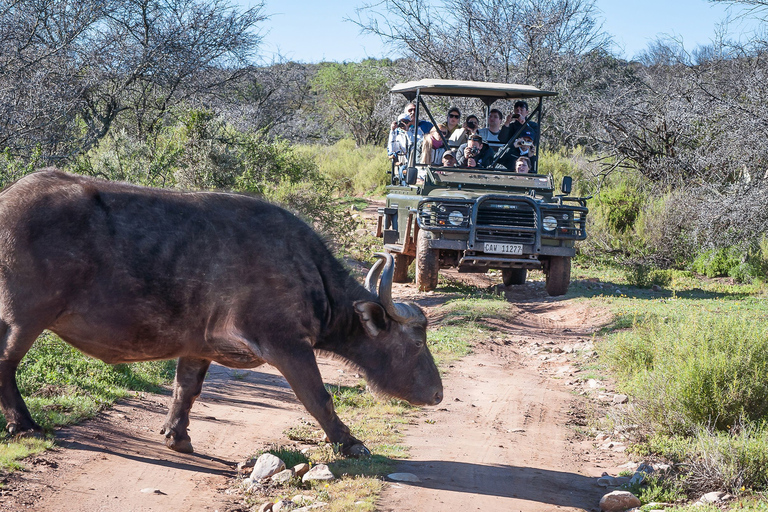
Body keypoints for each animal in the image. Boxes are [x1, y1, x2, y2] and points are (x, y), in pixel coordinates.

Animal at [0, 171, 440, 456]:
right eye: (417, 343)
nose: (438, 394)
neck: (304, 268)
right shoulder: (288, 346)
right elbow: (318, 397)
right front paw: (350, 443)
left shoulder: (197, 347)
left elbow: (186, 390)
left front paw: (177, 436)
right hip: (22, 320)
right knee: (6, 364)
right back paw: (24, 424)